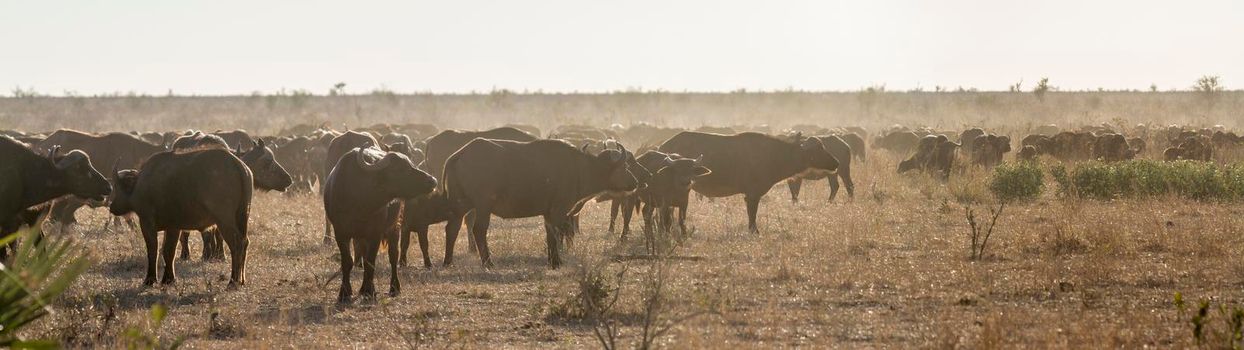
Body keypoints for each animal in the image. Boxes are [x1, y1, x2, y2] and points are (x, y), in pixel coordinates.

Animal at [111, 147, 255, 286]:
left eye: (116, 187)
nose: (112, 206)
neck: (139, 186)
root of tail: (238, 164)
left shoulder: (147, 223)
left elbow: (154, 250)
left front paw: (150, 280)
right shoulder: (173, 227)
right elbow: (169, 251)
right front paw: (168, 279)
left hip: (224, 221)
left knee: (236, 243)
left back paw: (232, 281)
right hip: (243, 216)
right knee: (245, 242)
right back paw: (241, 280)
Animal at [325, 145, 437, 301]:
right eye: (400, 169)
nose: (432, 180)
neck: (360, 202)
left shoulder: (375, 234)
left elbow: (370, 262)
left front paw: (369, 291)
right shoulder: (340, 233)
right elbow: (347, 262)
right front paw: (345, 293)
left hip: (394, 228)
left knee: (393, 257)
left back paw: (394, 288)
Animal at [445, 138, 641, 266]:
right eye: (624, 166)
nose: (635, 182)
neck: (579, 168)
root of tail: (459, 153)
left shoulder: (548, 213)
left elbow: (549, 235)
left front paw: (552, 259)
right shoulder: (558, 210)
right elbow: (555, 233)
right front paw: (556, 262)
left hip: (460, 204)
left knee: (452, 228)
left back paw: (448, 261)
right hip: (482, 205)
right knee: (478, 229)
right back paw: (488, 262)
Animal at [656, 130, 840, 231]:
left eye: (822, 145)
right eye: (818, 149)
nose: (836, 162)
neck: (775, 155)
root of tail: (663, 147)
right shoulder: (752, 194)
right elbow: (752, 214)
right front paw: (754, 231)